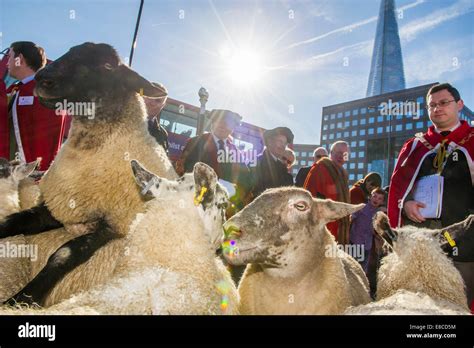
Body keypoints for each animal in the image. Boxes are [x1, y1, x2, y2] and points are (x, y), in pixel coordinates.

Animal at [0, 42, 177, 304]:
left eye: (107, 66)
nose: (43, 78)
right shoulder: (55, 207)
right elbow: (10, 221)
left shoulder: (111, 225)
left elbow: (62, 255)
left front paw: (21, 300)